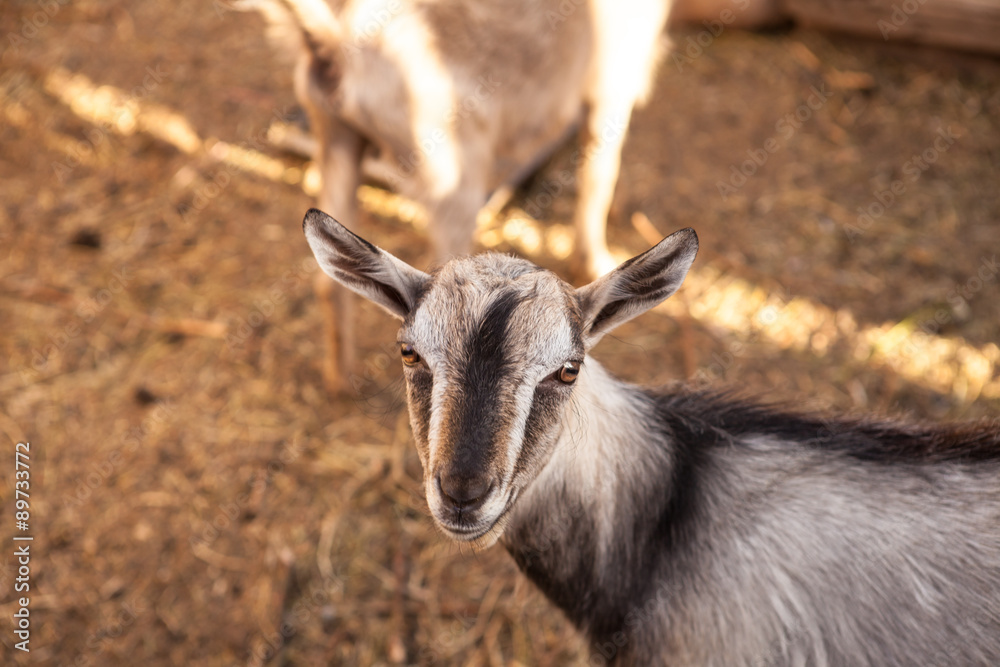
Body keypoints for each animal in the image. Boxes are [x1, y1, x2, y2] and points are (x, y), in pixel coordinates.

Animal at [252, 0, 672, 392]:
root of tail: (338, 47)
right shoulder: (609, 87)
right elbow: (600, 175)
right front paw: (596, 260)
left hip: (336, 138)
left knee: (331, 283)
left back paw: (342, 383)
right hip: (453, 174)